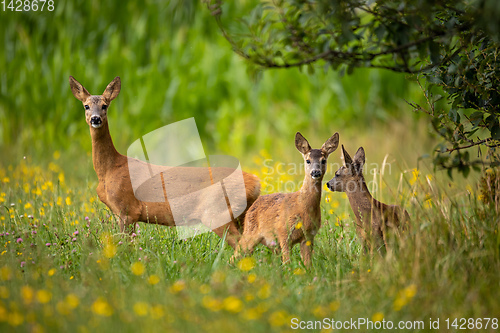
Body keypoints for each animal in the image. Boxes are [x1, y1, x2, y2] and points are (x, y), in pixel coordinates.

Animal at [70, 75, 262, 246]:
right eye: (86, 106)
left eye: (105, 105)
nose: (95, 119)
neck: (109, 170)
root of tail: (256, 182)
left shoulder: (127, 210)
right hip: (240, 214)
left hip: (217, 213)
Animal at [231, 132, 340, 264]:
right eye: (307, 160)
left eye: (323, 160)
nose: (315, 172)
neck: (302, 207)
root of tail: (251, 206)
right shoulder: (283, 232)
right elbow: (287, 262)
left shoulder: (309, 236)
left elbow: (308, 263)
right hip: (250, 233)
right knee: (235, 253)